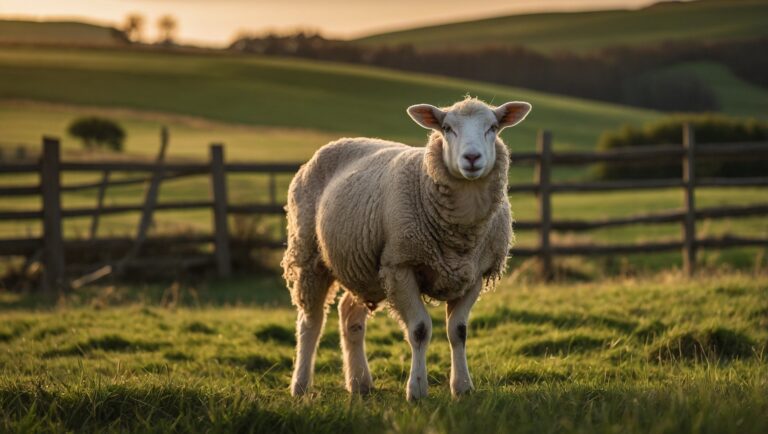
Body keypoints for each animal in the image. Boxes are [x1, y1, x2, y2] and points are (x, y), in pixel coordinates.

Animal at [281, 97, 532, 400]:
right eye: (447, 128)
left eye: (493, 127)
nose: (472, 158)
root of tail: (336, 142)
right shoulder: (401, 265)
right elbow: (420, 330)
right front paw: (417, 389)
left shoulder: (474, 274)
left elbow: (458, 331)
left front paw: (462, 387)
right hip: (309, 254)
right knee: (311, 321)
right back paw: (301, 385)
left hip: (365, 268)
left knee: (349, 314)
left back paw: (360, 383)